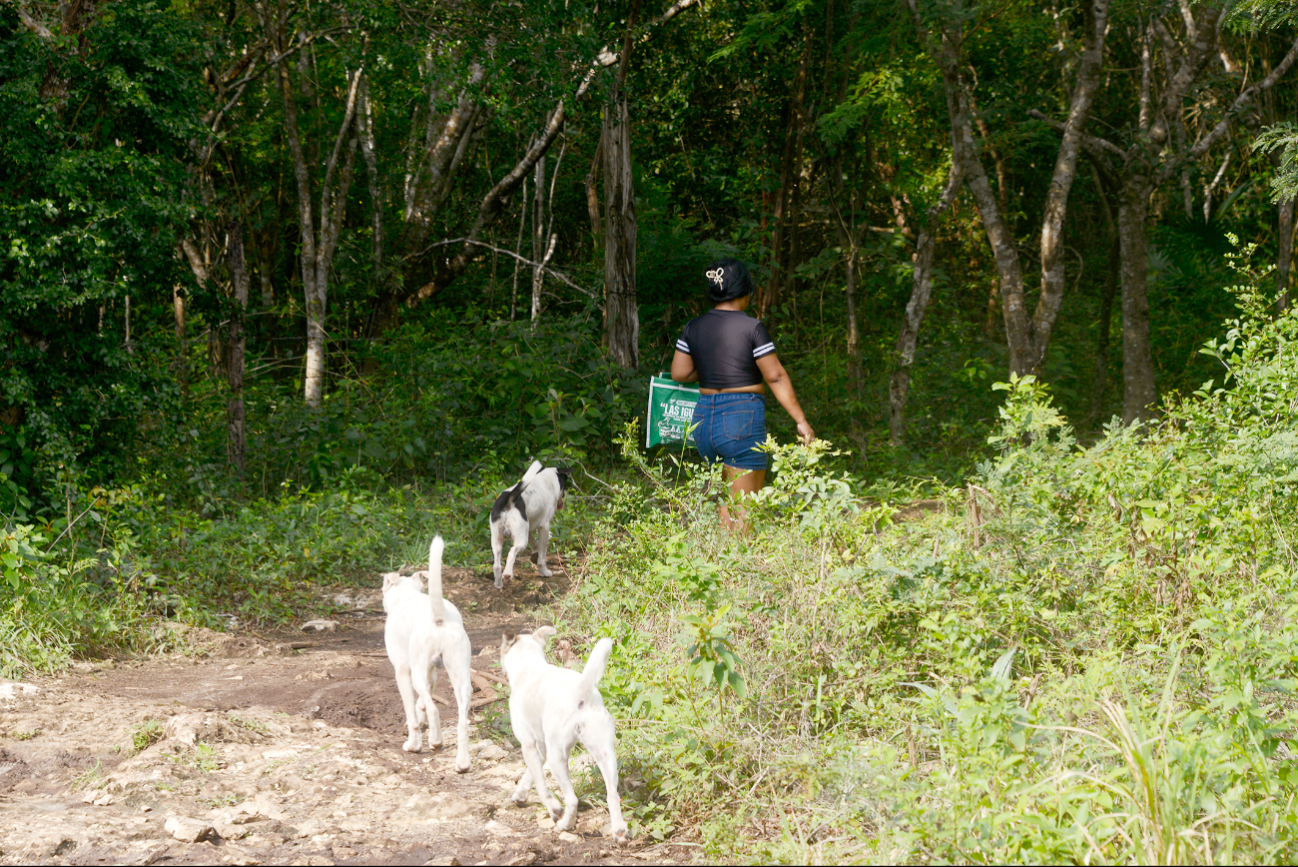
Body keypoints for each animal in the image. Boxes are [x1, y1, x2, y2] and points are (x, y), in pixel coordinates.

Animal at [381, 534, 475, 773]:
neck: (406, 596)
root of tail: (438, 617)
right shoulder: (431, 673)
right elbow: (420, 704)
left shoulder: (403, 672)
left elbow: (413, 712)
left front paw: (413, 743)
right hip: (461, 680)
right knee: (462, 723)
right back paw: (462, 763)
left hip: (417, 675)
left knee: (435, 711)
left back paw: (435, 742)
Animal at [490, 459, 573, 589]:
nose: (563, 495)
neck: (548, 479)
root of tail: (510, 499)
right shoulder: (544, 526)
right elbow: (542, 554)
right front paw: (544, 572)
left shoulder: (527, 528)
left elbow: (534, 542)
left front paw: (535, 554)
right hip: (520, 542)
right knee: (511, 553)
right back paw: (507, 575)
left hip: (497, 540)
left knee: (497, 564)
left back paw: (498, 584)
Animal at [501, 625, 628, 841]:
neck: (529, 666)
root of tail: (580, 695)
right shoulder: (541, 748)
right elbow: (529, 775)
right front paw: (520, 795)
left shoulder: (528, 745)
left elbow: (541, 785)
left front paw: (554, 809)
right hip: (605, 755)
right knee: (612, 795)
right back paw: (619, 831)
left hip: (557, 758)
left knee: (573, 799)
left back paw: (565, 824)